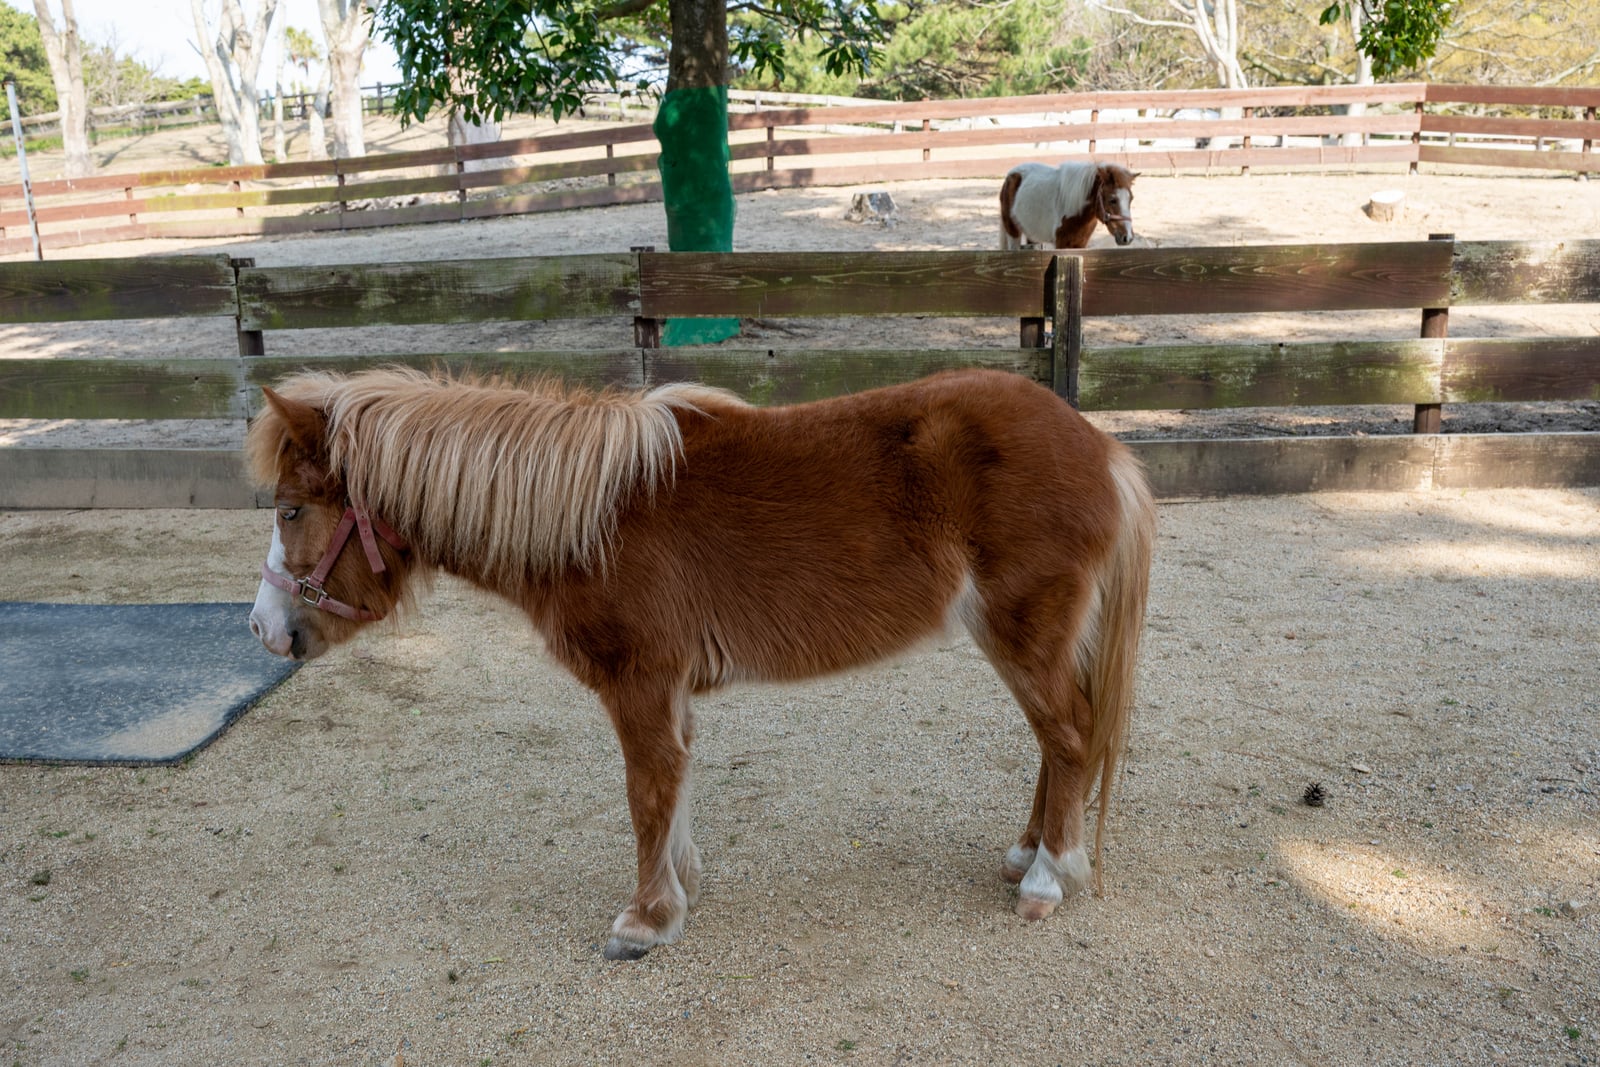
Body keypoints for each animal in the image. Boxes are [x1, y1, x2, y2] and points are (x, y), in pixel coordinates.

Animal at [246, 367, 1156, 960]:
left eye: (291, 509)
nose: (264, 629)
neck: (591, 519)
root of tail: (1098, 444)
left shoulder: (639, 680)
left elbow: (647, 789)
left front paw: (646, 919)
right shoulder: (670, 687)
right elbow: (676, 780)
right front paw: (680, 884)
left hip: (1022, 631)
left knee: (1070, 737)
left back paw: (1048, 878)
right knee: (1056, 742)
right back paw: (1028, 854)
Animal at [999, 160, 1139, 250]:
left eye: (1131, 199)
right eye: (1112, 200)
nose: (1128, 237)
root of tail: (1010, 176)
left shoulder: (1081, 244)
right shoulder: (1061, 244)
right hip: (1013, 233)